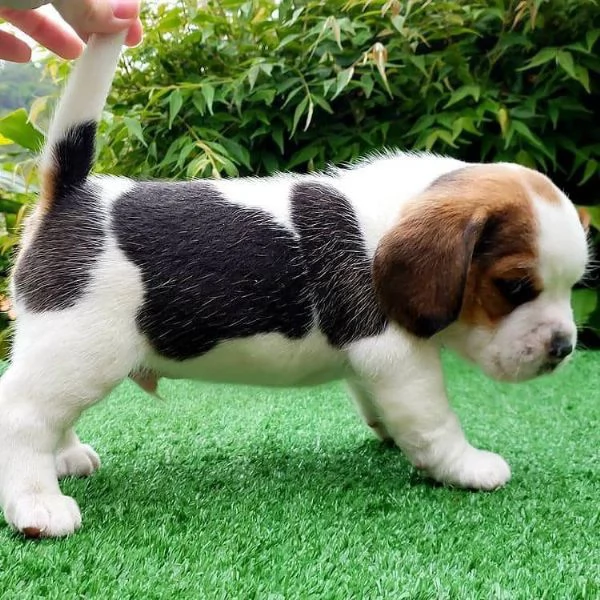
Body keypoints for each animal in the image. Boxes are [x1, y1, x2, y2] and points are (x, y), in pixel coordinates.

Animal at [0, 34, 592, 540]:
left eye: (572, 286)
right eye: (514, 287)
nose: (564, 348)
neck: (393, 215)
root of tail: (71, 194)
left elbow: (384, 405)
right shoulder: (398, 357)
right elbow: (435, 422)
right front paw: (469, 467)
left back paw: (66, 456)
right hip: (81, 348)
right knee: (23, 415)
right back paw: (37, 505)